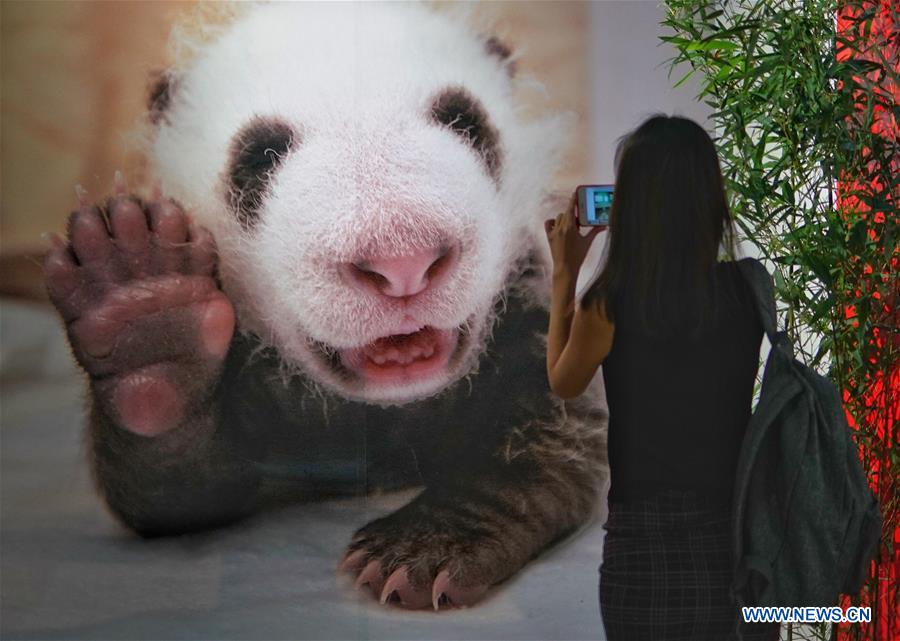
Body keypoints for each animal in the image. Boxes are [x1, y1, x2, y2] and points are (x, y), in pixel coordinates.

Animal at [43, 2, 608, 611]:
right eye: (260, 156)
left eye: (464, 123)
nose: (403, 261)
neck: (390, 408)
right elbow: (180, 495)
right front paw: (148, 318)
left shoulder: (528, 296)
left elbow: (547, 438)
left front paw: (421, 550)